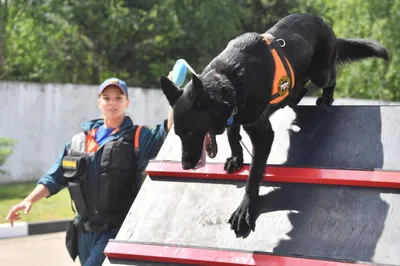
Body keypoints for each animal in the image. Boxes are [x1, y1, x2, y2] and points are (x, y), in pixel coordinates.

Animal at [159, 12, 388, 238]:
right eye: (178, 135)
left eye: (190, 133)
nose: (185, 166)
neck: (229, 81)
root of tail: (323, 22)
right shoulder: (236, 115)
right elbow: (233, 135)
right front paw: (236, 158)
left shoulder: (263, 134)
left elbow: (253, 175)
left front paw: (246, 208)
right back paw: (295, 95)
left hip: (320, 73)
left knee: (331, 76)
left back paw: (325, 97)